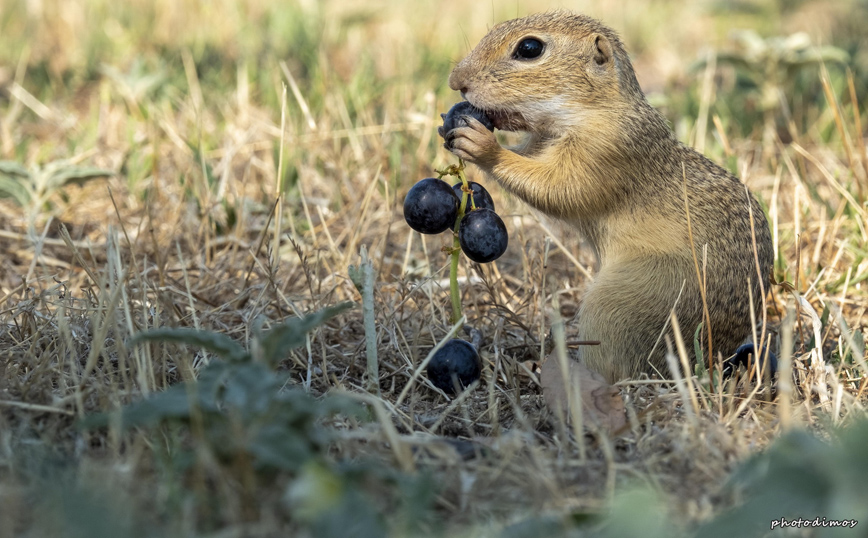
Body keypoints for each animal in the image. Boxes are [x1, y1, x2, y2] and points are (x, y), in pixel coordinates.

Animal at [440, 9, 772, 382]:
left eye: (529, 48)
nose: (456, 80)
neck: (594, 110)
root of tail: (715, 361)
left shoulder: (605, 151)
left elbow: (557, 187)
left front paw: (482, 145)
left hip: (615, 308)